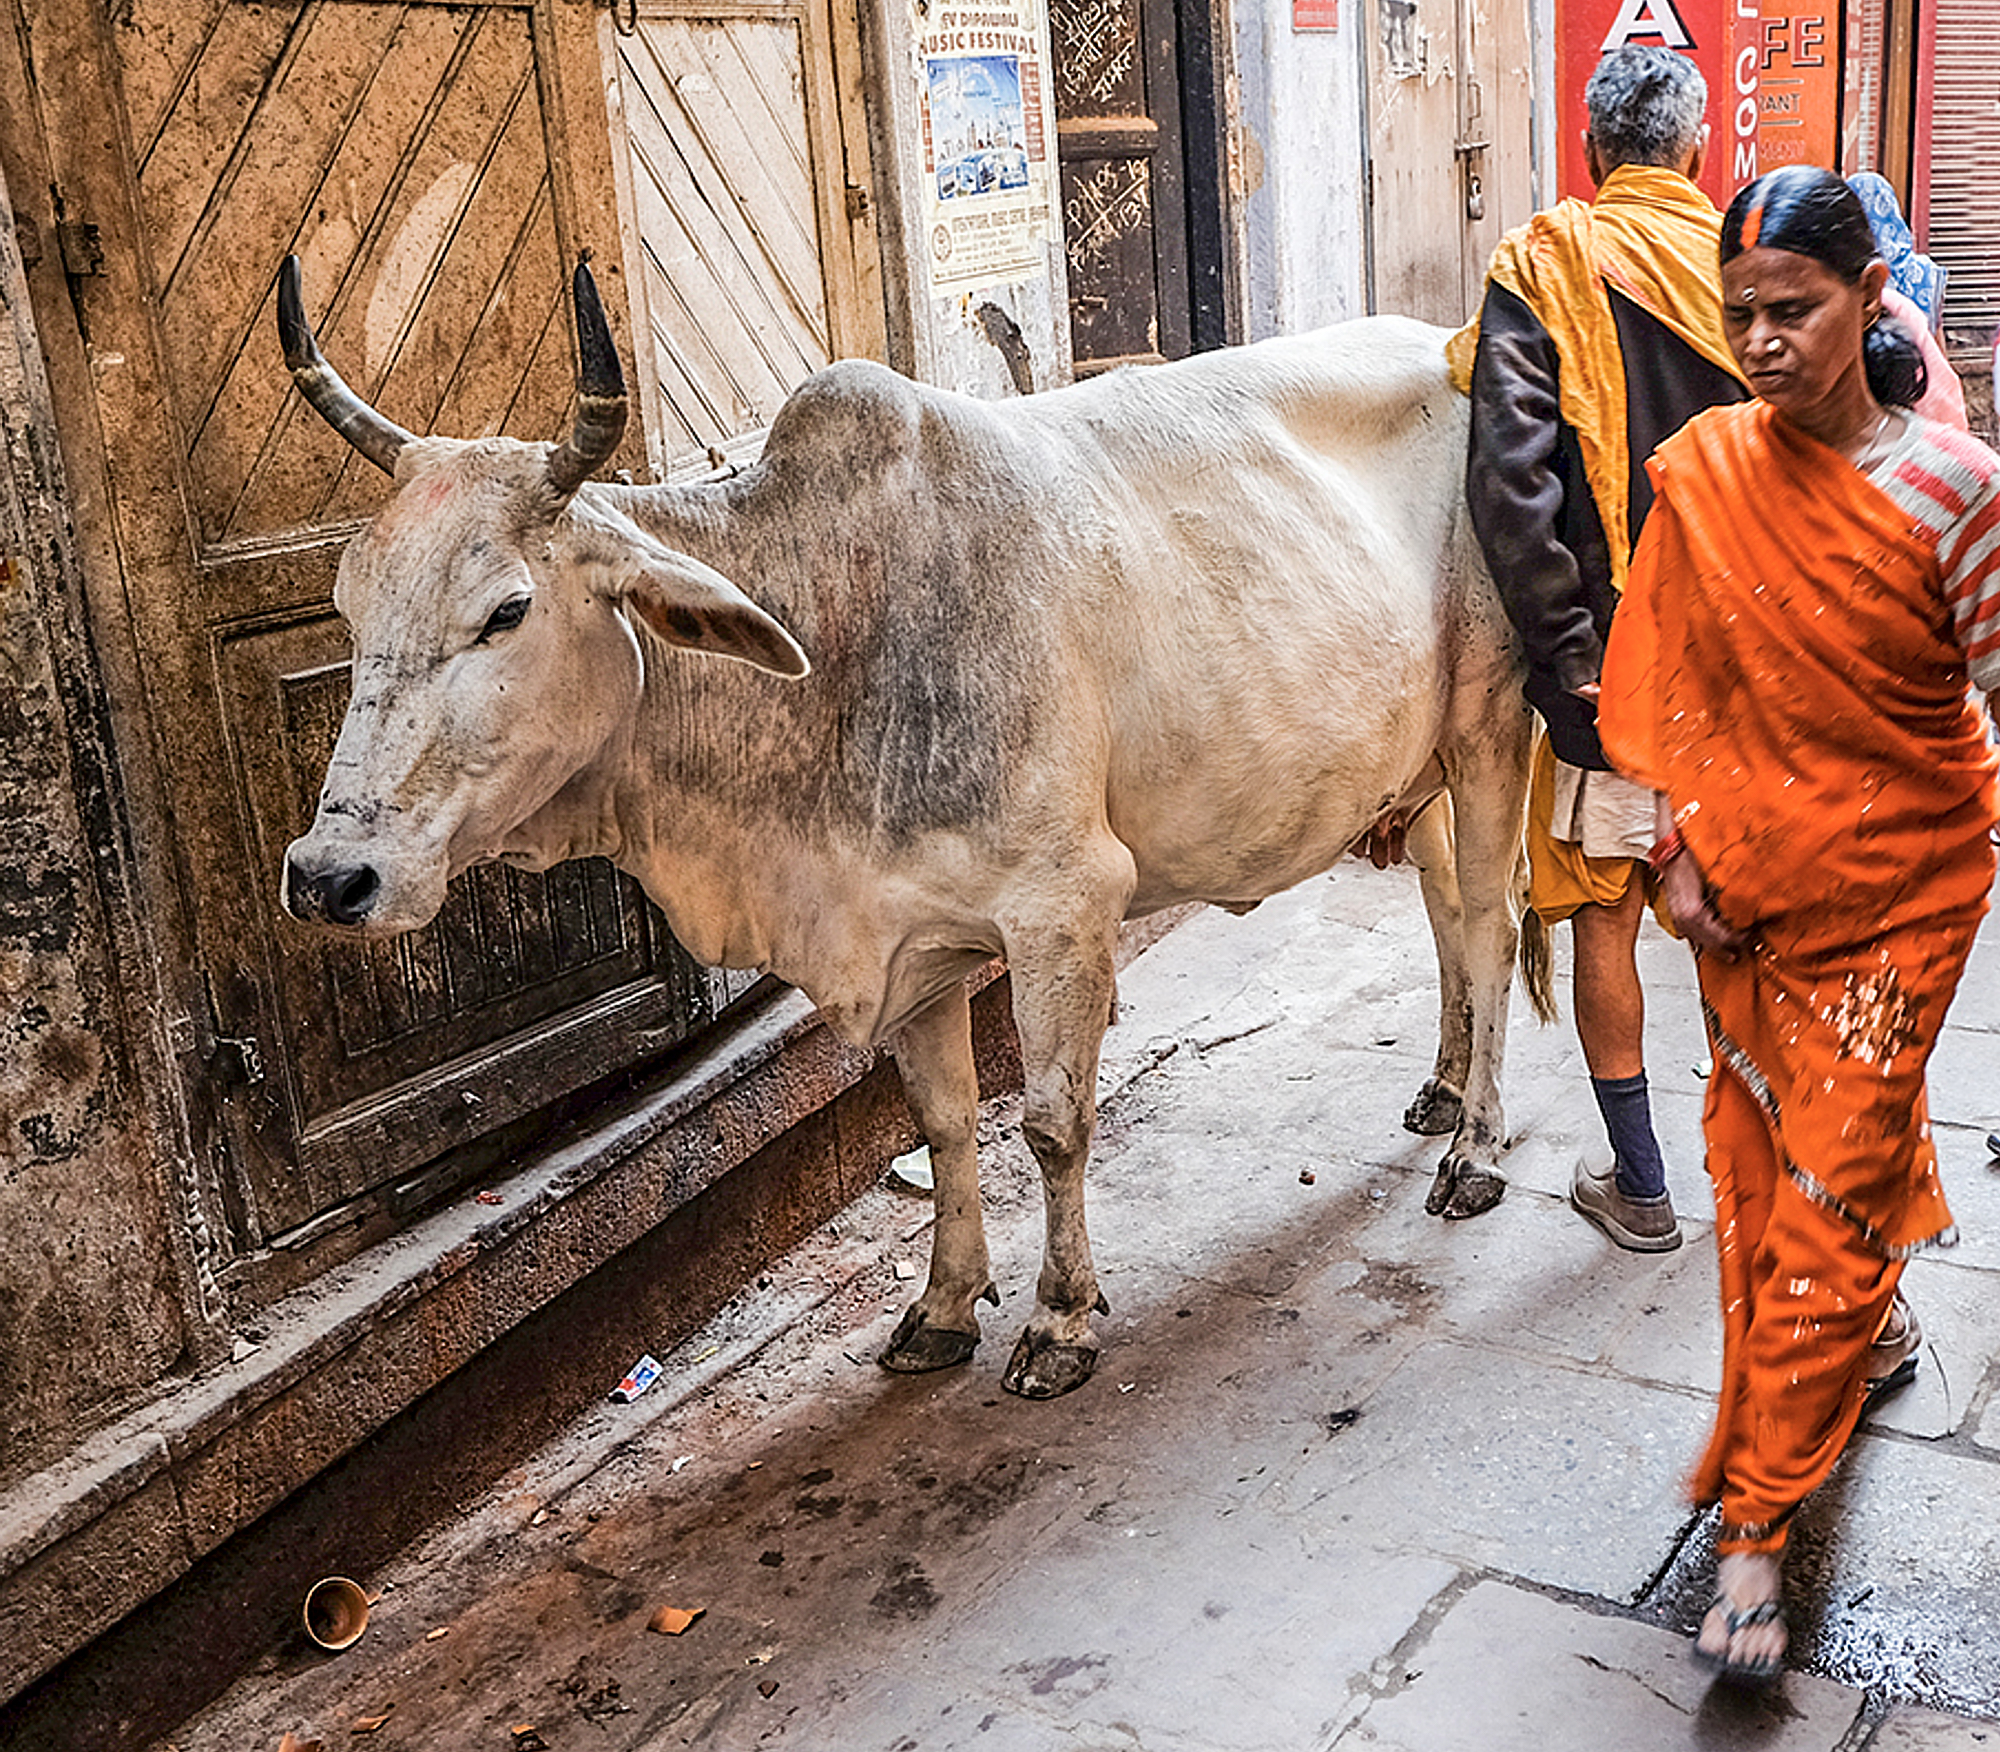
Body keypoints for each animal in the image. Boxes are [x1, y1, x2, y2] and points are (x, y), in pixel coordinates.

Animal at [277, 258, 1547, 1400]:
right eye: (347, 600)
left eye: (506, 611)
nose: (330, 877)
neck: (835, 634)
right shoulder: (906, 937)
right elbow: (941, 1126)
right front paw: (940, 1307)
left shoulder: (1062, 907)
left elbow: (1050, 1125)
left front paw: (1058, 1320)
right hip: (1415, 768)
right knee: (1442, 913)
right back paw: (1441, 1090)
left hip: (1488, 726)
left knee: (1488, 926)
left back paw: (1474, 1148)